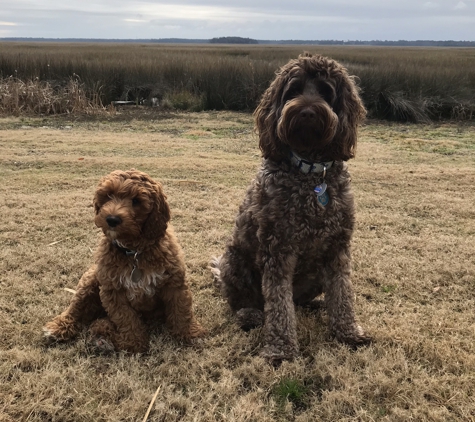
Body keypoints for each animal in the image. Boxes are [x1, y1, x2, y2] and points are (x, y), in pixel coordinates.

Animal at [44, 169, 206, 352]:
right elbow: (126, 318)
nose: (112, 219)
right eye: (108, 195)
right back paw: (61, 328)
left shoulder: (174, 281)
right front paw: (133, 341)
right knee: (76, 308)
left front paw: (190, 334)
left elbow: (181, 310)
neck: (134, 252)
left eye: (136, 201)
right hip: (91, 279)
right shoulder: (113, 290)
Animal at [212, 52, 372, 362]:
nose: (307, 112)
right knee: (245, 302)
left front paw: (348, 333)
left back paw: (315, 305)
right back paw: (250, 315)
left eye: (326, 91)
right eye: (293, 90)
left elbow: (342, 292)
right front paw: (281, 349)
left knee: (298, 300)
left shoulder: (338, 248)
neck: (311, 173)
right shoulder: (277, 248)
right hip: (233, 260)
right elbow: (278, 304)